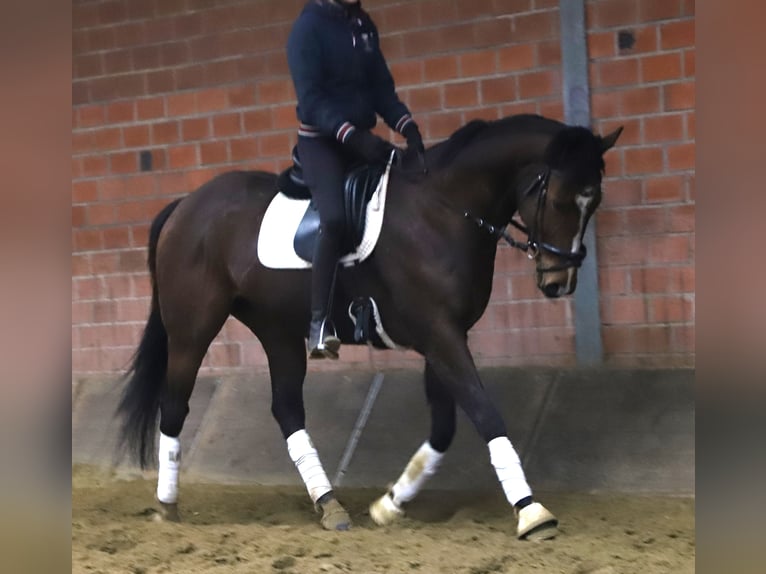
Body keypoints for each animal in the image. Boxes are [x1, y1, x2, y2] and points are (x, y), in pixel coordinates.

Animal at [116, 113, 622, 540]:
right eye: (559, 199)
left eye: (594, 200)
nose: (558, 283)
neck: (443, 210)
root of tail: (186, 204)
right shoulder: (441, 334)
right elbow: (484, 412)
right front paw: (531, 512)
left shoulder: (445, 335)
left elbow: (444, 427)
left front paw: (390, 504)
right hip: (193, 327)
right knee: (174, 406)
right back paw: (167, 505)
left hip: (278, 329)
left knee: (287, 410)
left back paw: (329, 505)